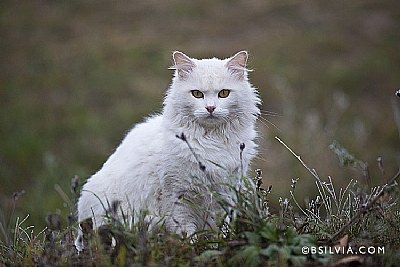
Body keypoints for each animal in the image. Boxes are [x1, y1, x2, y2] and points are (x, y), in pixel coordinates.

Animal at [74, 51, 262, 252]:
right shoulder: (177, 196)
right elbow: (187, 232)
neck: (211, 141)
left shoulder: (225, 194)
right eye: (197, 94)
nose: (210, 108)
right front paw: (191, 249)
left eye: (224, 93)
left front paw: (217, 246)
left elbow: (220, 230)